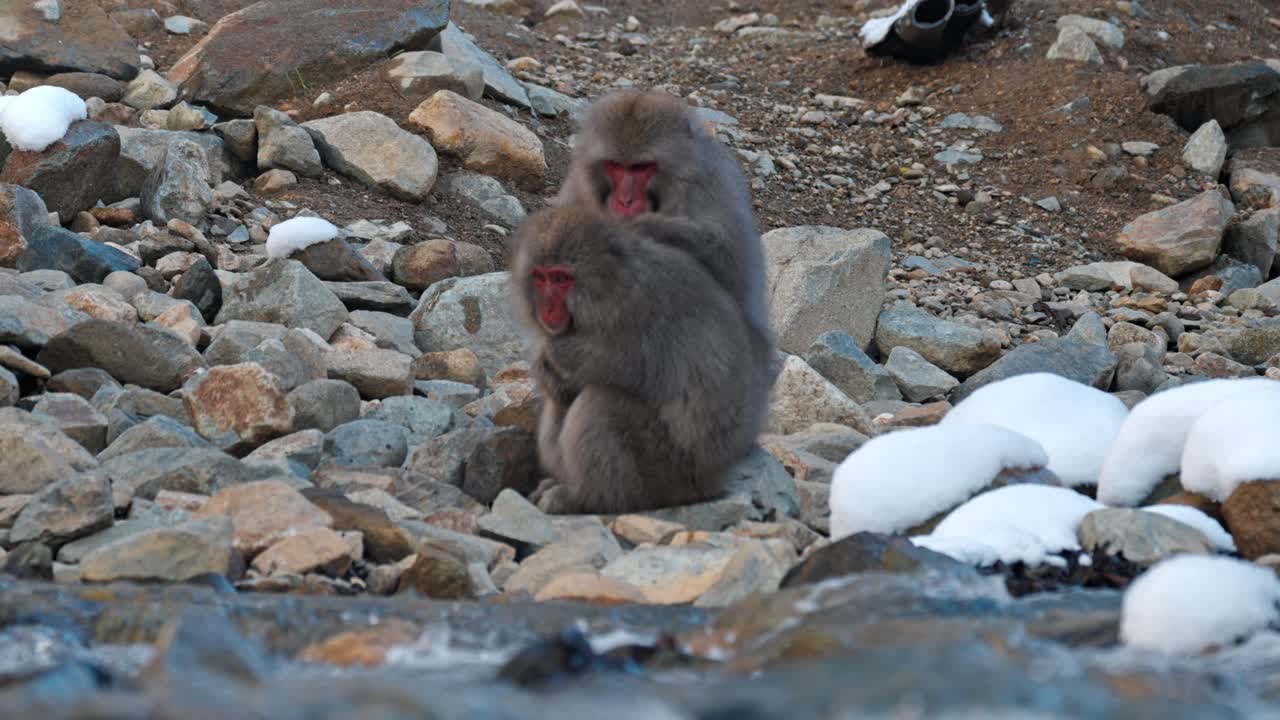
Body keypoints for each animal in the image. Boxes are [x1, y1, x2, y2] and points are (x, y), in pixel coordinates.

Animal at [508, 205, 770, 515]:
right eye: (541, 277)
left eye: (561, 278)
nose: (546, 308)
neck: (612, 287)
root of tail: (710, 482)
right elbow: (563, 389)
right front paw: (543, 365)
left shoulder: (637, 316)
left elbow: (623, 367)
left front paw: (555, 351)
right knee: (561, 406)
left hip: (666, 466)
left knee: (599, 403)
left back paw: (589, 498)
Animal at [554, 89, 779, 386]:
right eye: (615, 166)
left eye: (641, 168)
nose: (624, 201)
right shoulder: (577, 188)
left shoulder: (713, 184)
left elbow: (733, 264)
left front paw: (648, 228)